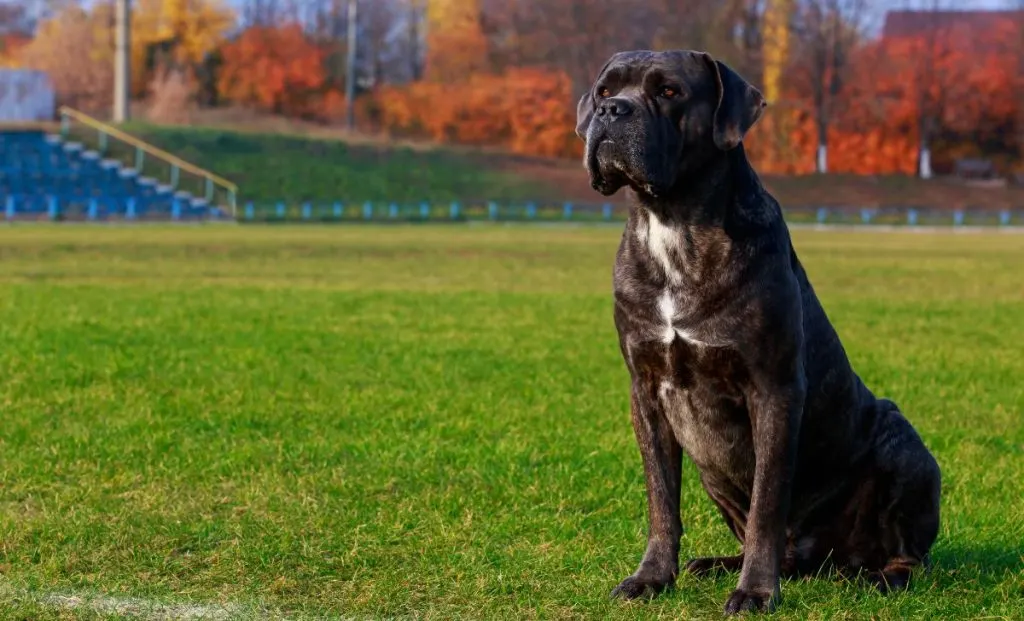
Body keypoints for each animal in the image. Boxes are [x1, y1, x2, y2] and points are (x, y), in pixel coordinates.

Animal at [573, 49, 937, 618]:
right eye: (604, 89)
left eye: (669, 92)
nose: (612, 110)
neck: (674, 222)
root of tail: (829, 561)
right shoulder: (646, 393)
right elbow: (661, 500)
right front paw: (652, 577)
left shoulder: (774, 390)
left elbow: (768, 501)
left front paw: (757, 592)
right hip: (712, 473)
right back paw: (715, 564)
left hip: (906, 446)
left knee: (906, 553)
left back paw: (882, 577)